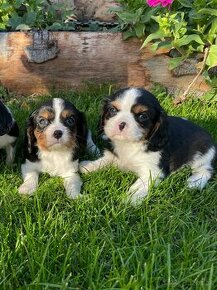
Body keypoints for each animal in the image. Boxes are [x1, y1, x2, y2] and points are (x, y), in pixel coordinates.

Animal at [80, 87, 217, 203]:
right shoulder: (113, 156)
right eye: (112, 110)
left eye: (143, 116)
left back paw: (194, 183)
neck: (130, 144)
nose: (121, 124)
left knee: (206, 170)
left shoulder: (152, 172)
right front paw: (87, 166)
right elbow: (103, 161)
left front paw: (130, 200)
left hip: (202, 155)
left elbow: (138, 187)